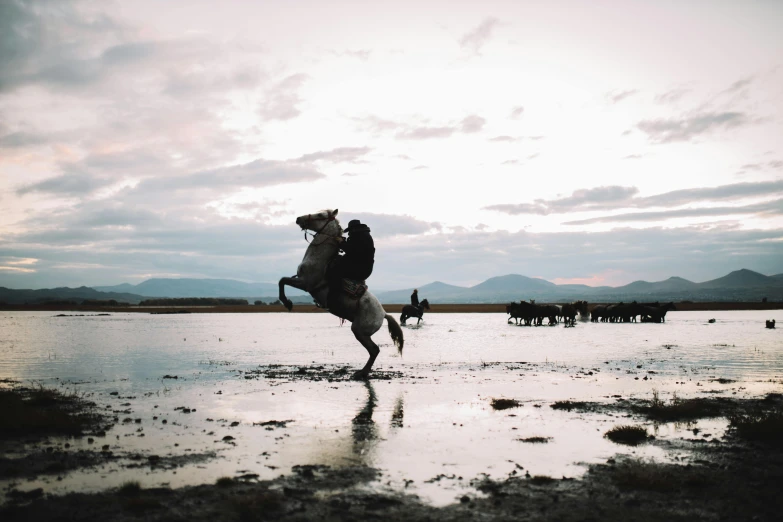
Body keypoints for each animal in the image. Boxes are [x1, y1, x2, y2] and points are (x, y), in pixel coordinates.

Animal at [278, 208, 404, 378]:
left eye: (320, 215)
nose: (298, 219)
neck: (320, 260)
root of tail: (384, 314)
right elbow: (282, 280)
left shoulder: (306, 283)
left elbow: (282, 281)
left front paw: (287, 303)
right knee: (374, 350)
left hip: (359, 331)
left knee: (374, 350)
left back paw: (361, 373)